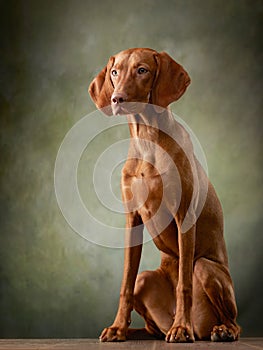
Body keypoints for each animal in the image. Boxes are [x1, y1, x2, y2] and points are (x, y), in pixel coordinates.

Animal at [88, 47, 241, 344]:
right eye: (115, 72)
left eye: (142, 70)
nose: (116, 99)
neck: (147, 138)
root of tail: (200, 329)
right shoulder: (132, 220)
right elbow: (125, 281)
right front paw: (116, 327)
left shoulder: (184, 216)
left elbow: (184, 283)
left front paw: (181, 329)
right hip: (146, 280)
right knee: (151, 325)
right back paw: (138, 331)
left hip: (205, 267)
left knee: (233, 321)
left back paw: (215, 330)